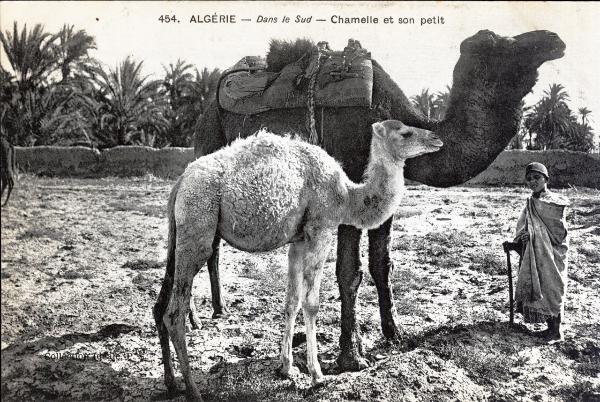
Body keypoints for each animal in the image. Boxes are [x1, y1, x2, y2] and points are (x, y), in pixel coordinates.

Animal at [155, 119, 440, 398]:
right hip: (197, 229)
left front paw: (286, 367)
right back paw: (193, 391)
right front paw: (317, 375)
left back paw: (172, 384)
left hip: (179, 236)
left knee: (160, 305)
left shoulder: (298, 241)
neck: (347, 196)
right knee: (174, 313)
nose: (436, 138)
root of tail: (180, 183)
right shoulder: (320, 230)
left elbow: (291, 301)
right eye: (405, 133)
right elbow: (311, 303)